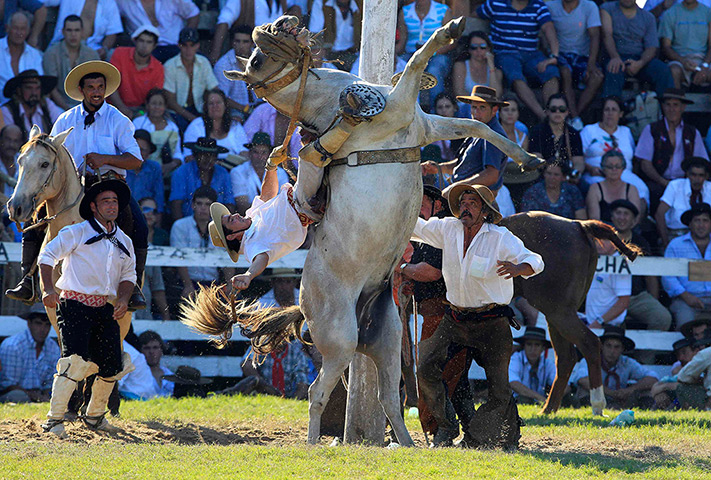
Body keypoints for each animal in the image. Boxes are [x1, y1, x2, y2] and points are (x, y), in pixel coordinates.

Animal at [179, 15, 542, 447]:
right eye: (254, 60)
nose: (282, 23)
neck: (328, 101)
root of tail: (303, 306)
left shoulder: (425, 125)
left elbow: (477, 126)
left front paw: (529, 158)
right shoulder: (400, 108)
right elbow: (419, 60)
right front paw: (449, 31)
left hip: (386, 339)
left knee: (389, 396)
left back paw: (407, 445)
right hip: (340, 341)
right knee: (318, 391)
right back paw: (315, 443)